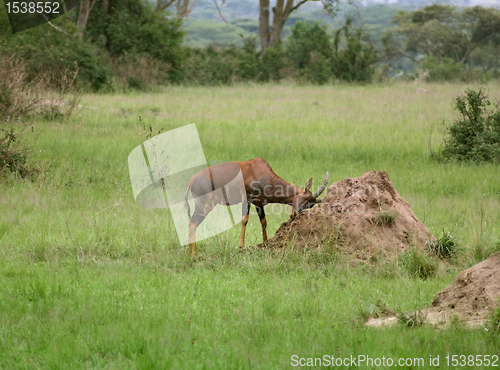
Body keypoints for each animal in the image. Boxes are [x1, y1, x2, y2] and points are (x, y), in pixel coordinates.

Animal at [184, 158, 328, 256]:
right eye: (304, 199)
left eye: (310, 205)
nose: (294, 215)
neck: (258, 171)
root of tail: (191, 180)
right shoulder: (247, 198)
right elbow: (245, 220)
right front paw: (242, 246)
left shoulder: (258, 203)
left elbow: (263, 222)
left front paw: (265, 243)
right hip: (204, 205)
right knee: (193, 223)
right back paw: (194, 254)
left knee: (191, 223)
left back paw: (188, 251)